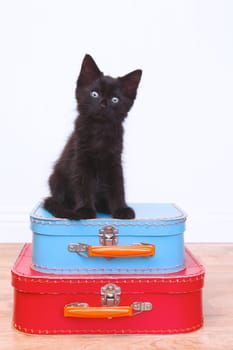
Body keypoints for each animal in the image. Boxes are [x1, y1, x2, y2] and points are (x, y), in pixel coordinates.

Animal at [43, 54, 142, 219]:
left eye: (115, 100)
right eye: (94, 94)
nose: (103, 104)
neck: (99, 131)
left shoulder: (114, 161)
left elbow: (117, 186)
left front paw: (121, 209)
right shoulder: (80, 159)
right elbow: (83, 184)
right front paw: (85, 209)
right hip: (56, 179)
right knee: (59, 198)